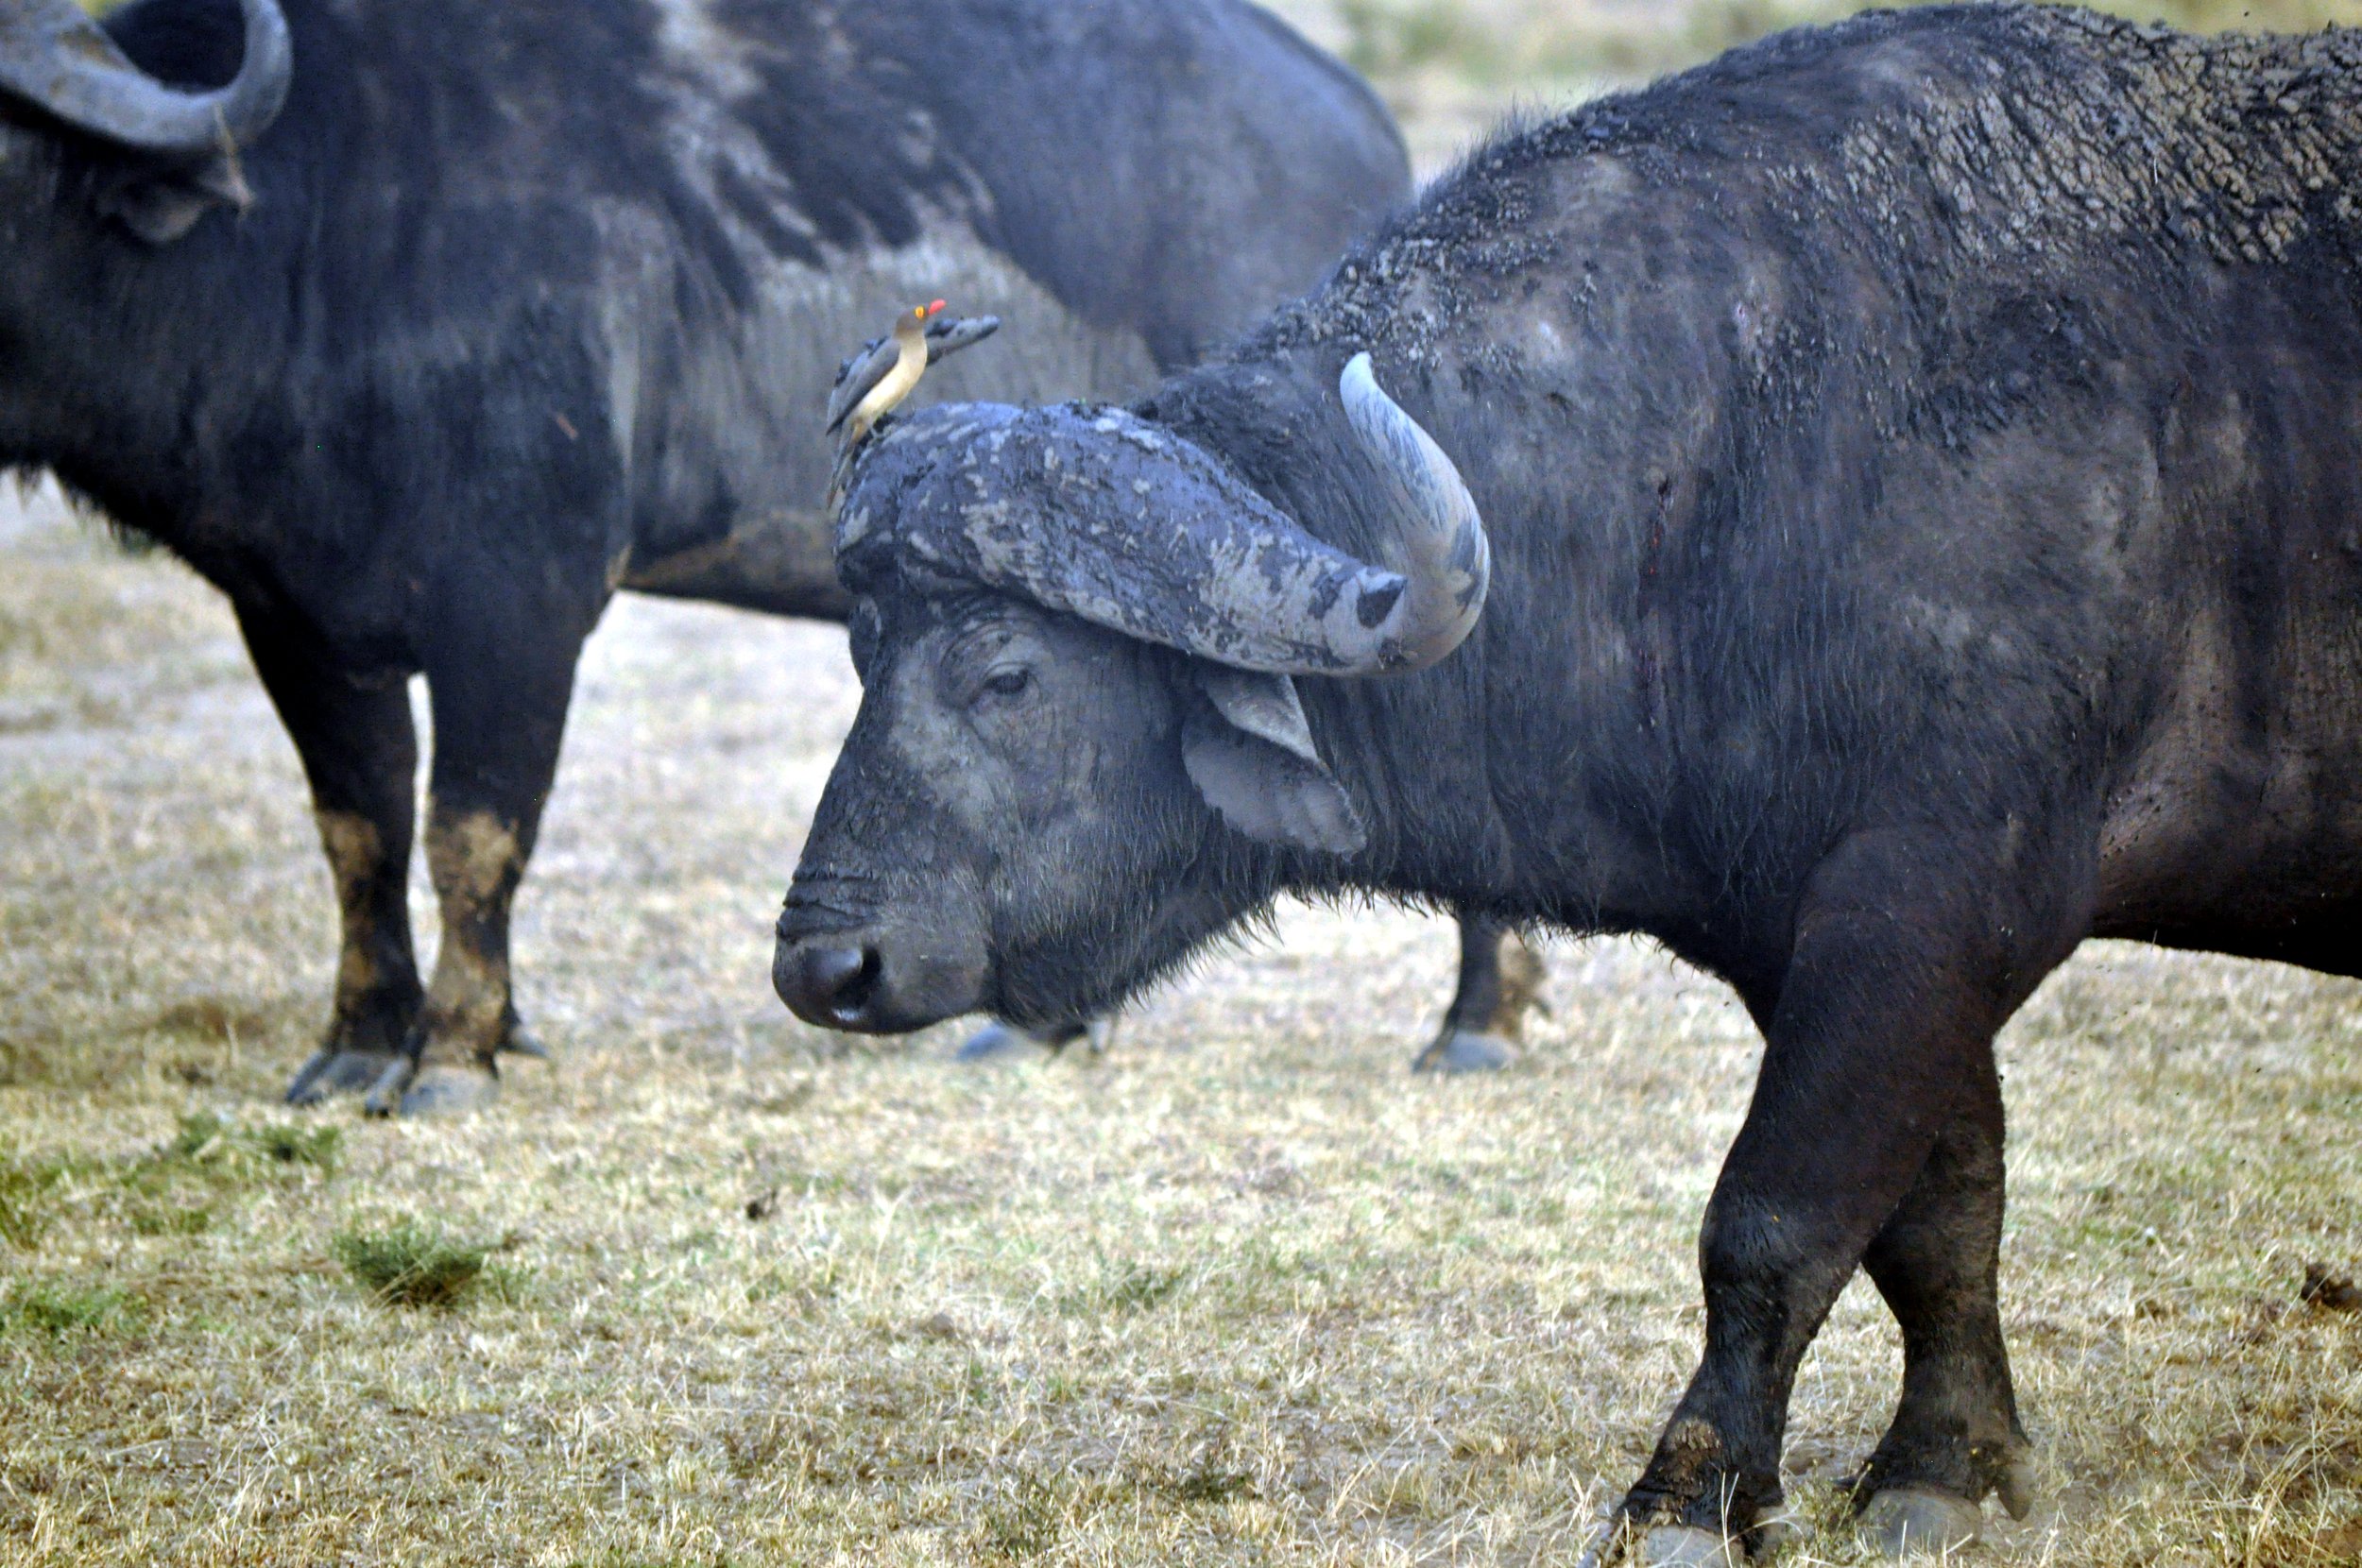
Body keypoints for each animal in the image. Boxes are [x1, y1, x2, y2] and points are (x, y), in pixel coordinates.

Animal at [0, 0, 1540, 1115]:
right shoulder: (292, 615)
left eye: (8, 167)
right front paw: (360, 1043)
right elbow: (359, 832)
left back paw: (1477, 1018)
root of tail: (1358, 128)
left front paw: (455, 1053)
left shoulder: (522, 608)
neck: (314, 234)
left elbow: (473, 835)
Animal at [784, 6, 2362, 1559]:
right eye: (864, 648)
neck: (1731, 453)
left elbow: (1776, 1216)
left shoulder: (1933, 896)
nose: (824, 966)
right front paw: (1947, 1468)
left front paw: (1690, 1494)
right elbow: (1936, 1218)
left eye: (1004, 671)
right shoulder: (1821, 933)